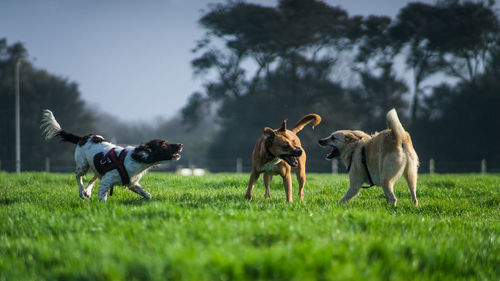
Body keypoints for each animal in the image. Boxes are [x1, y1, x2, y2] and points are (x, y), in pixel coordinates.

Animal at [40, 109, 182, 201]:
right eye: (163, 144)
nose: (180, 144)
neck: (136, 159)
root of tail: (84, 137)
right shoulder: (108, 180)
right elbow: (102, 197)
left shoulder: (131, 183)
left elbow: (147, 195)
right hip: (83, 164)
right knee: (78, 176)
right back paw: (82, 192)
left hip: (97, 169)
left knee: (92, 179)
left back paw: (87, 192)